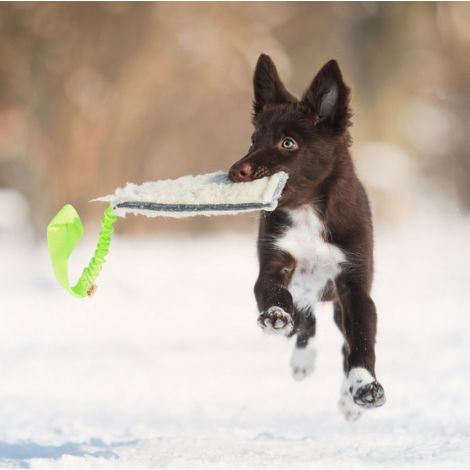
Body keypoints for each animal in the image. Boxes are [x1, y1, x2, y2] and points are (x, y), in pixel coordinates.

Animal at [228, 53, 386, 420]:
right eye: (253, 139)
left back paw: (348, 400)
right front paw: (275, 316)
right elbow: (272, 292)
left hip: (337, 304)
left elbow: (361, 339)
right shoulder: (276, 263)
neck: (307, 211)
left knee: (341, 340)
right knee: (305, 321)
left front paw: (363, 386)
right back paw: (301, 354)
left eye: (288, 143)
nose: (234, 172)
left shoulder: (353, 285)